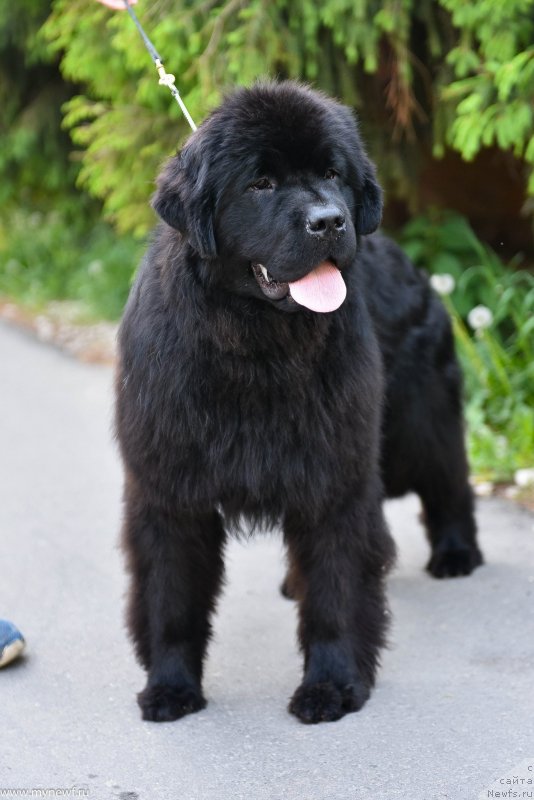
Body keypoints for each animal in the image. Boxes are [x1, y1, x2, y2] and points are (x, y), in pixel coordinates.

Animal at [115, 81, 484, 724]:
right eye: (260, 183)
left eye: (332, 173)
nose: (329, 221)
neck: (257, 347)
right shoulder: (167, 490)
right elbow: (170, 596)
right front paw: (170, 686)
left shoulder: (334, 474)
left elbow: (336, 592)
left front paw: (331, 686)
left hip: (417, 424)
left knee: (449, 481)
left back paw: (457, 552)